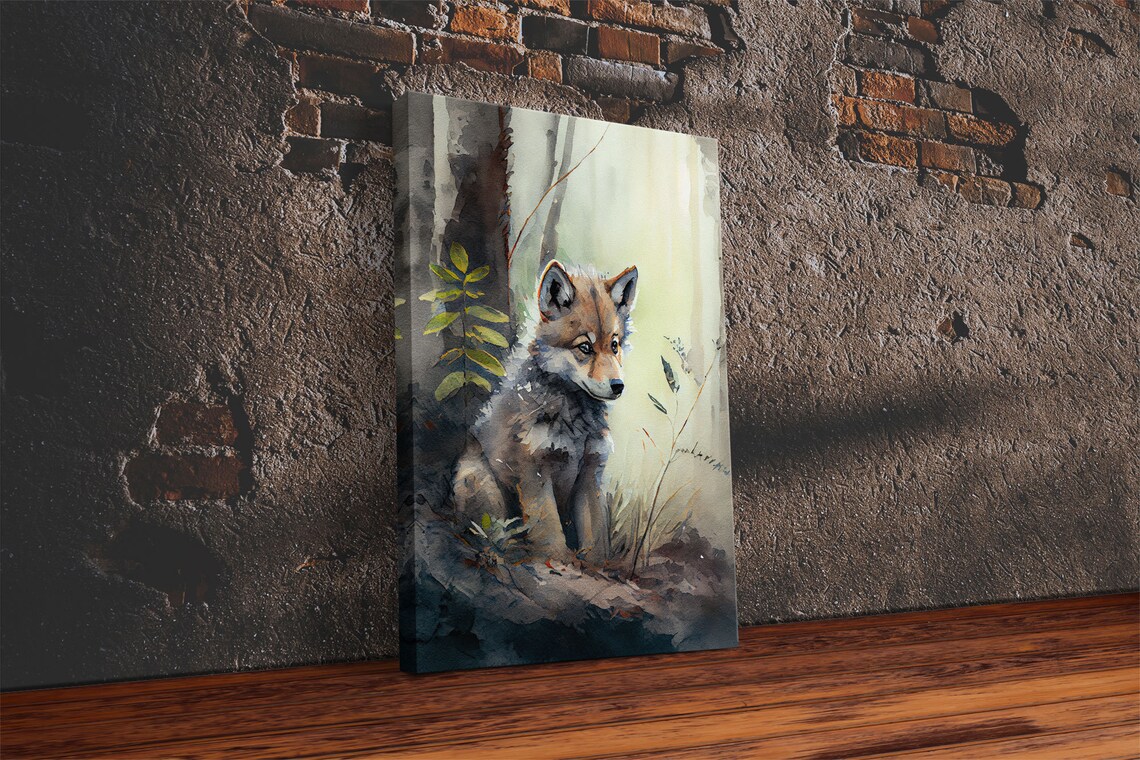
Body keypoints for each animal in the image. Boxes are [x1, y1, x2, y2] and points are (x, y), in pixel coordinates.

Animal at [452, 260, 638, 564]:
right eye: (584, 347)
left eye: (614, 345)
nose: (618, 386)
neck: (575, 423)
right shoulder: (534, 472)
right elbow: (549, 532)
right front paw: (557, 561)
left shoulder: (590, 473)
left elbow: (596, 539)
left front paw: (595, 565)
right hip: (482, 484)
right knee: (490, 534)